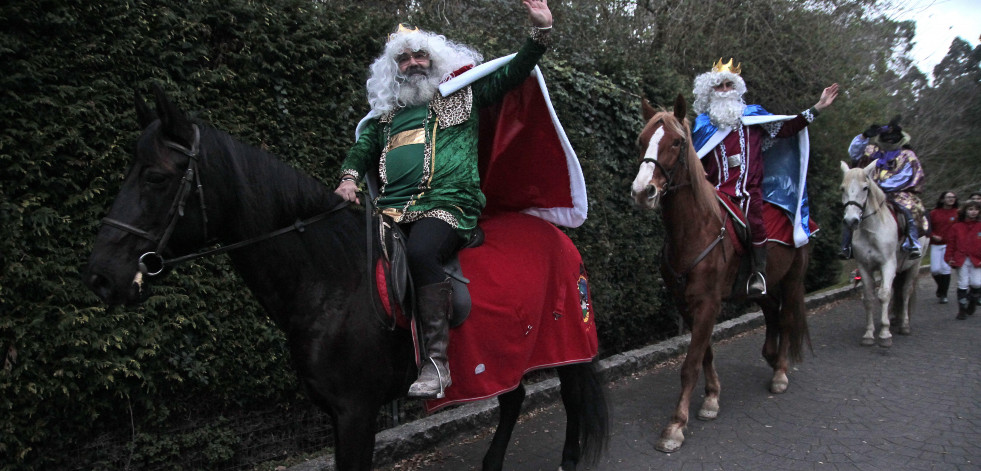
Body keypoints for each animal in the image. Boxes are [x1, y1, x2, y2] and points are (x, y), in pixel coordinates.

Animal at [84, 86, 604, 470]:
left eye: (154, 176)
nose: (102, 276)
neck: (328, 281)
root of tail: (558, 237)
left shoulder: (356, 412)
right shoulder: (338, 412)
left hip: (566, 341)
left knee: (572, 398)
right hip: (500, 354)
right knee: (512, 401)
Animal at [628, 95, 812, 454]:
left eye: (677, 142)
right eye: (642, 140)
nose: (643, 192)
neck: (696, 230)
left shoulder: (708, 303)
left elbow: (690, 365)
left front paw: (675, 426)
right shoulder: (688, 304)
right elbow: (705, 353)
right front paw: (712, 398)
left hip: (792, 279)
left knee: (786, 318)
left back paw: (780, 372)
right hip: (765, 286)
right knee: (773, 313)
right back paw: (771, 358)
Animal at [840, 162, 932, 346]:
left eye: (865, 188)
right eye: (842, 188)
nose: (851, 221)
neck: (871, 230)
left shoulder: (887, 264)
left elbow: (884, 295)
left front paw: (884, 334)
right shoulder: (864, 267)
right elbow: (868, 297)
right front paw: (869, 334)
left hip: (915, 265)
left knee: (905, 291)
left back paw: (904, 325)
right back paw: (895, 319)